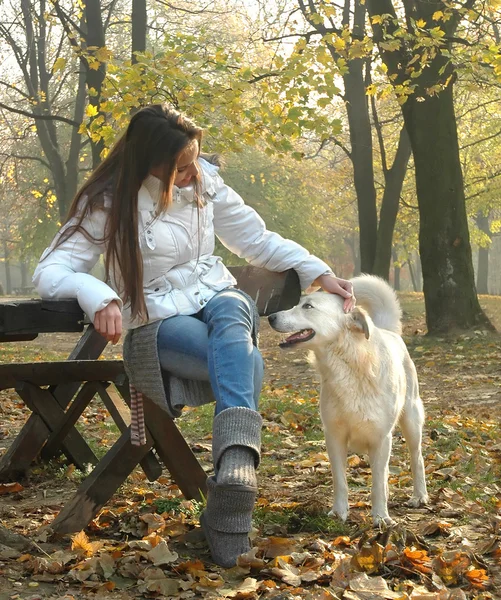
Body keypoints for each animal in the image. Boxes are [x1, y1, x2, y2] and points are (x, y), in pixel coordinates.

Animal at [268, 274, 428, 524]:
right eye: (298, 303)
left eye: (308, 306)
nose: (270, 317)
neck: (349, 367)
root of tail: (388, 331)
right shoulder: (334, 437)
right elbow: (340, 481)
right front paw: (339, 512)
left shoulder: (381, 438)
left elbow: (377, 484)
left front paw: (380, 517)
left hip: (411, 421)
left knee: (416, 458)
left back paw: (420, 496)